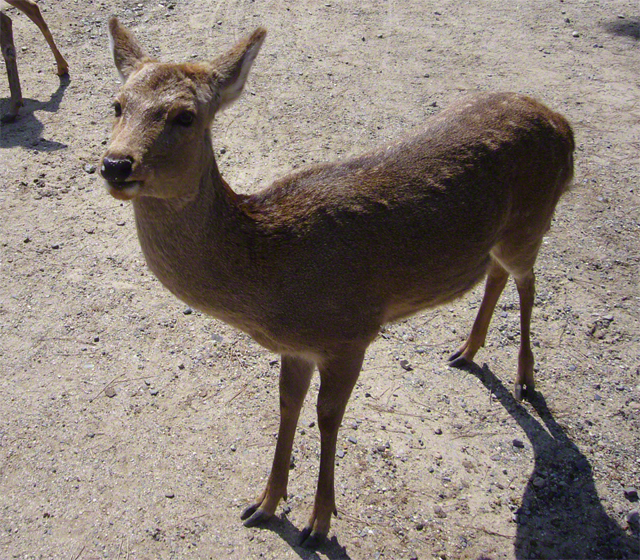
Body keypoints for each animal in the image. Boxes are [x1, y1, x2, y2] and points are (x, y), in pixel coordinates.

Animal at [101, 18, 574, 548]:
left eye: (185, 116)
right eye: (117, 104)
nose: (116, 164)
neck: (271, 276)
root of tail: (563, 124)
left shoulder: (350, 332)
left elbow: (328, 418)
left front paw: (318, 523)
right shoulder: (297, 347)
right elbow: (287, 406)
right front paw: (264, 504)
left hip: (532, 220)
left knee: (528, 281)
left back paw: (525, 378)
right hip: (502, 236)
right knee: (496, 273)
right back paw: (467, 350)